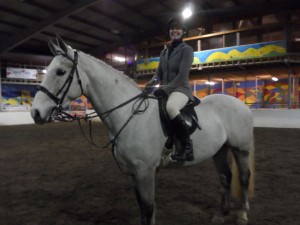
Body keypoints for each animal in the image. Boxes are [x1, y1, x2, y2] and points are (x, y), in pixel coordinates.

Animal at [30, 37, 254, 225]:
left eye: (60, 72)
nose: (36, 113)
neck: (129, 114)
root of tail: (240, 104)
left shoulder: (145, 171)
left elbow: (148, 208)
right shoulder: (133, 172)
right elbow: (142, 208)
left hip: (240, 149)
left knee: (244, 177)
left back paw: (243, 214)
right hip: (220, 150)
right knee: (225, 177)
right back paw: (220, 215)